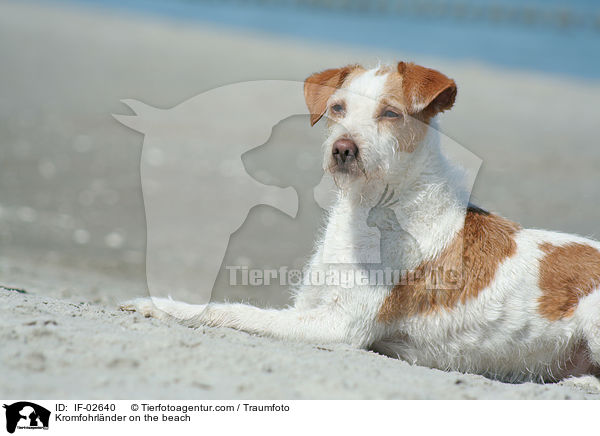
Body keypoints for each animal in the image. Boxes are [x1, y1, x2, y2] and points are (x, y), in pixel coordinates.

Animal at [122, 61, 600, 382]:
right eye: (337, 108)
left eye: (390, 113)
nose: (343, 149)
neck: (373, 208)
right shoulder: (309, 306)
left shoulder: (339, 326)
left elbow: (230, 311)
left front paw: (162, 306)